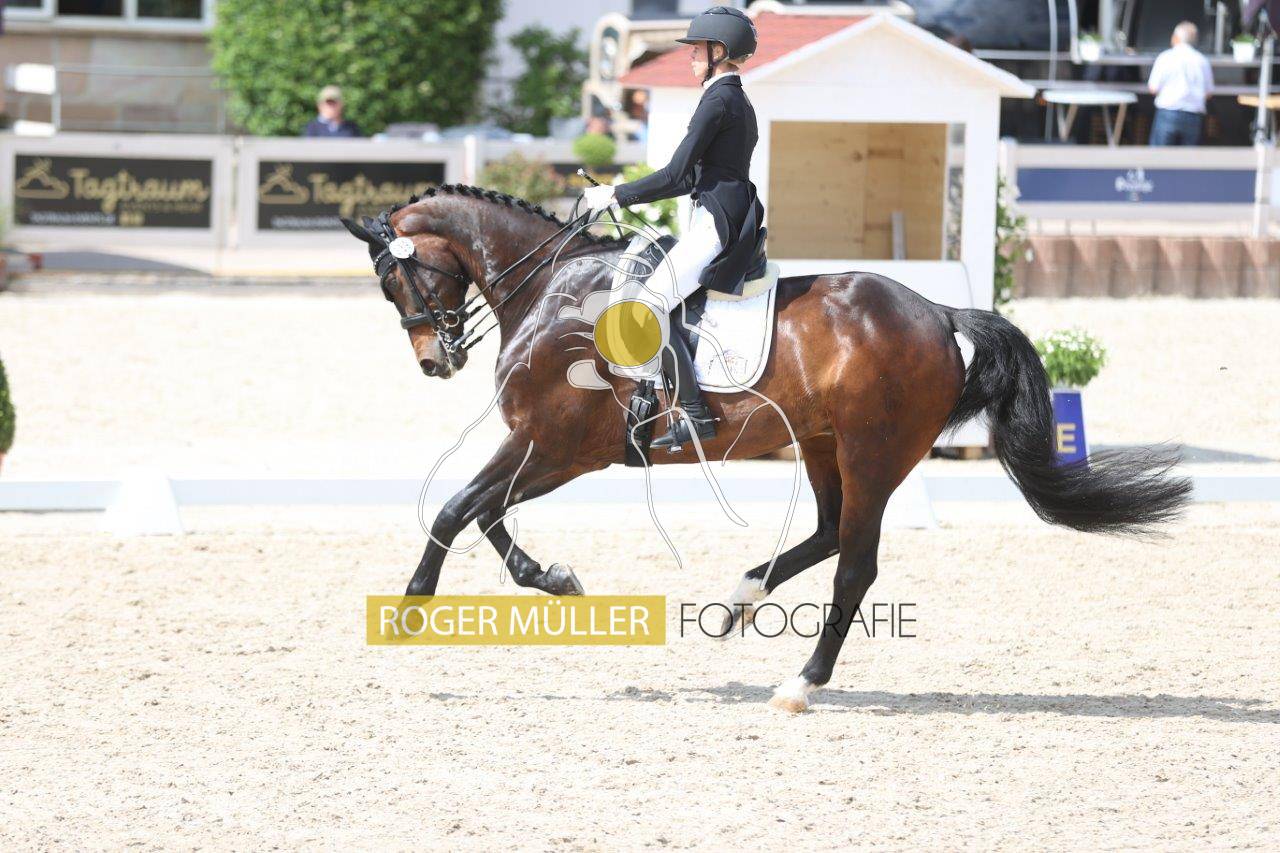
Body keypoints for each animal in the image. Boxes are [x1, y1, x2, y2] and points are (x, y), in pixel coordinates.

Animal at [341, 184, 1191, 712]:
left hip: (873, 453)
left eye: (398, 283)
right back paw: (737, 601)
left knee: (856, 563)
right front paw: (550, 576)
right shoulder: (543, 446)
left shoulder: (556, 444)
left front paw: (409, 610)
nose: (436, 360)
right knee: (826, 532)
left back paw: (800, 681)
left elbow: (456, 508)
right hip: (821, 444)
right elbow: (483, 514)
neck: (554, 292)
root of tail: (936, 310)